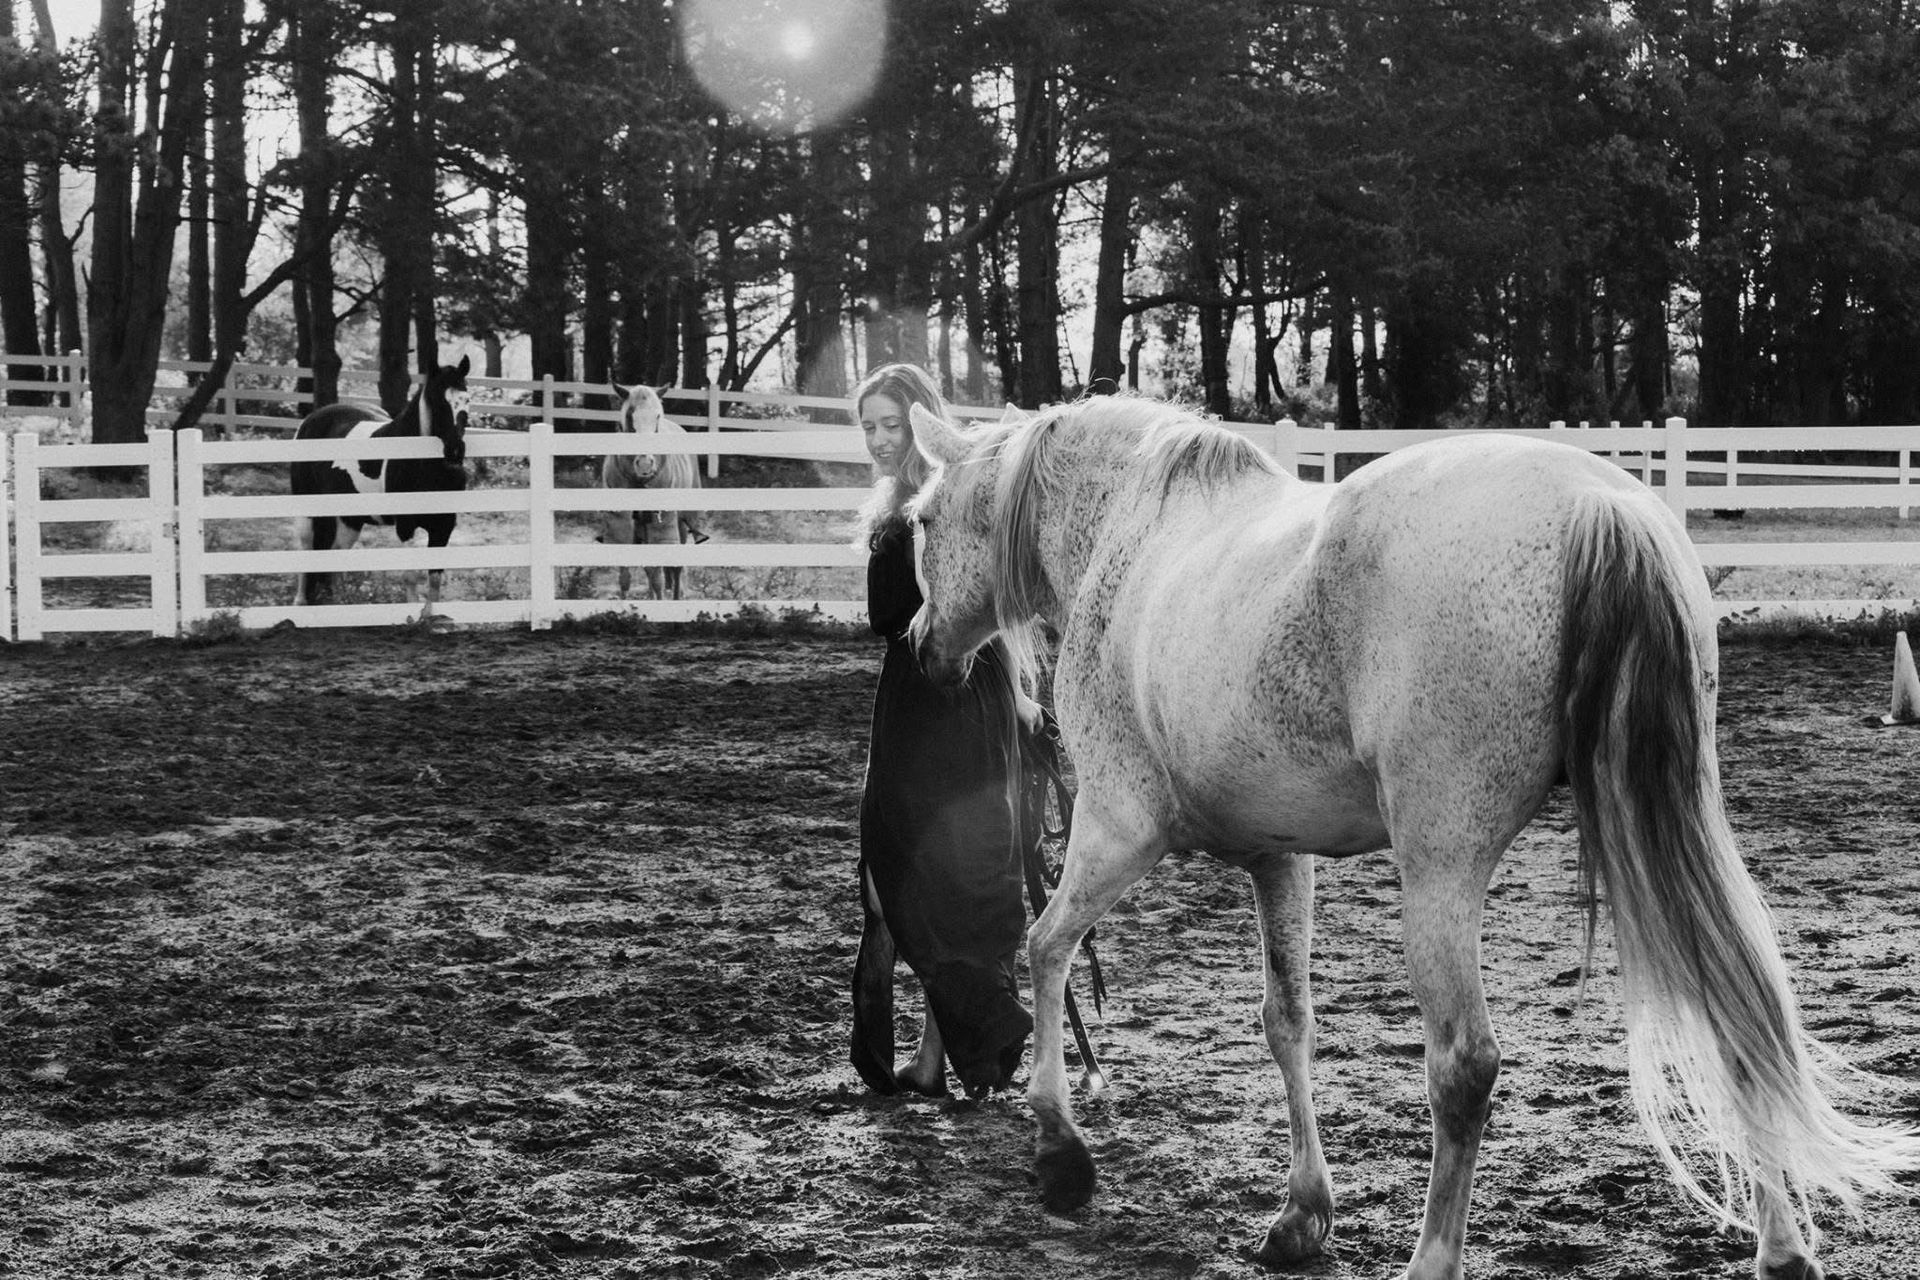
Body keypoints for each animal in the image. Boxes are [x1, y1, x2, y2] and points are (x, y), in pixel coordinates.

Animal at [290, 355, 471, 607]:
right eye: (437, 399)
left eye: (467, 399)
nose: (455, 451)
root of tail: (310, 420)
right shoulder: (405, 526)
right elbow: (410, 576)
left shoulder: (443, 526)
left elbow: (435, 580)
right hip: (307, 507)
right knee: (306, 546)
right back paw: (301, 601)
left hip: (350, 518)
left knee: (336, 554)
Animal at [600, 381, 707, 600]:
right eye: (629, 416)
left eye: (657, 417)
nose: (645, 464)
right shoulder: (623, 525)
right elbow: (626, 576)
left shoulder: (661, 524)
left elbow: (658, 575)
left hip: (680, 522)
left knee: (676, 567)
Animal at [901, 396, 1920, 1280]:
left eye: (919, 520)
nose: (920, 648)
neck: (1135, 535)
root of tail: (1601, 502)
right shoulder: (1277, 858)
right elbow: (1286, 1020)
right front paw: (1302, 1213)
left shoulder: (1121, 827)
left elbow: (1045, 948)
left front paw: (1059, 1149)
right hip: (1657, 820)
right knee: (1734, 1005)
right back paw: (1782, 1248)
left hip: (1439, 869)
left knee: (1464, 1064)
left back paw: (1433, 1257)